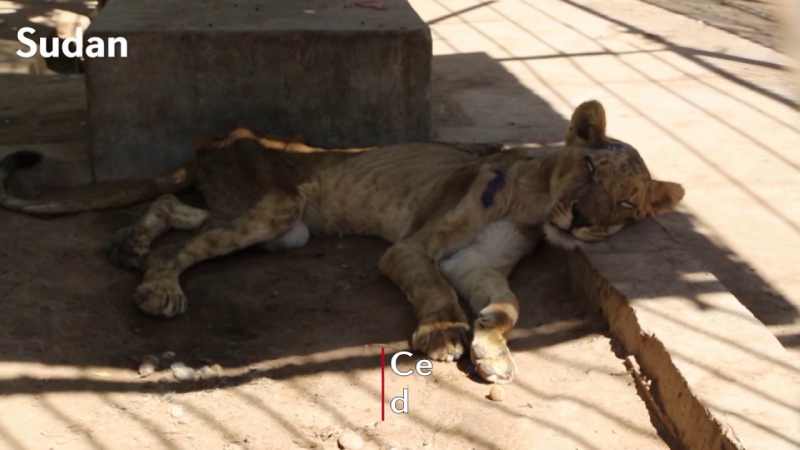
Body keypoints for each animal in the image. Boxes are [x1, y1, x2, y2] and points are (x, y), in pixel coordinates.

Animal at [1, 100, 688, 382]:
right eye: (591, 169)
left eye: (626, 202)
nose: (580, 221)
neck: (531, 204)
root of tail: (214, 143)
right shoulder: (414, 248)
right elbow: (432, 289)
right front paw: (443, 336)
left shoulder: (481, 267)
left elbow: (508, 309)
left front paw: (492, 353)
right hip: (276, 209)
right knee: (179, 241)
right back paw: (155, 286)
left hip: (282, 228)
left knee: (172, 207)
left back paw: (129, 248)